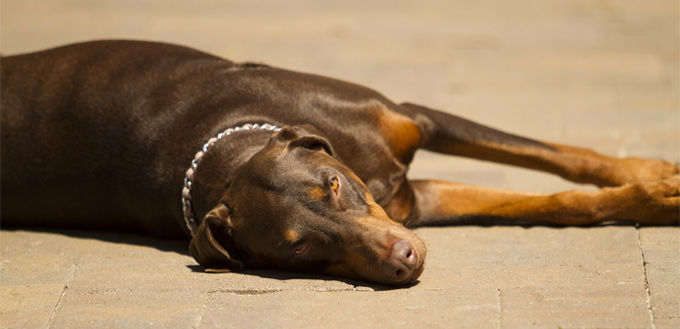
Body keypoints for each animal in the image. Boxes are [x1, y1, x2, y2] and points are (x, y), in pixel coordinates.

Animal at [1, 39, 680, 284]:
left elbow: (566, 162)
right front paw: (654, 197)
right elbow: (561, 202)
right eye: (300, 247)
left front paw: (654, 179)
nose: (405, 260)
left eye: (332, 185)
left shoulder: (414, 126)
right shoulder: (414, 207)